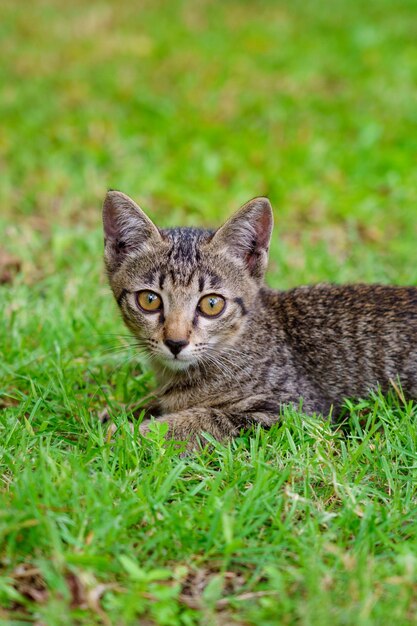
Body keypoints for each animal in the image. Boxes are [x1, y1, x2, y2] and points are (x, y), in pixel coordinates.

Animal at [101, 189, 416, 444]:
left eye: (212, 304)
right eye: (149, 300)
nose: (175, 343)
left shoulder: (294, 410)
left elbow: (202, 419)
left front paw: (127, 433)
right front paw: (118, 412)